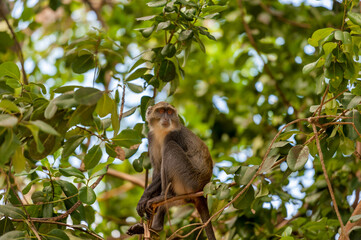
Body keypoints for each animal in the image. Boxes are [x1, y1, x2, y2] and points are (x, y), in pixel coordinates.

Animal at [128, 101, 215, 240]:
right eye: (160, 111)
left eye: (169, 112)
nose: (166, 118)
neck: (162, 132)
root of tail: (202, 189)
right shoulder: (151, 137)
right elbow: (157, 169)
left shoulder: (173, 135)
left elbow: (160, 171)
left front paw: (144, 198)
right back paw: (154, 228)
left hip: (190, 180)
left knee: (170, 148)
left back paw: (164, 196)